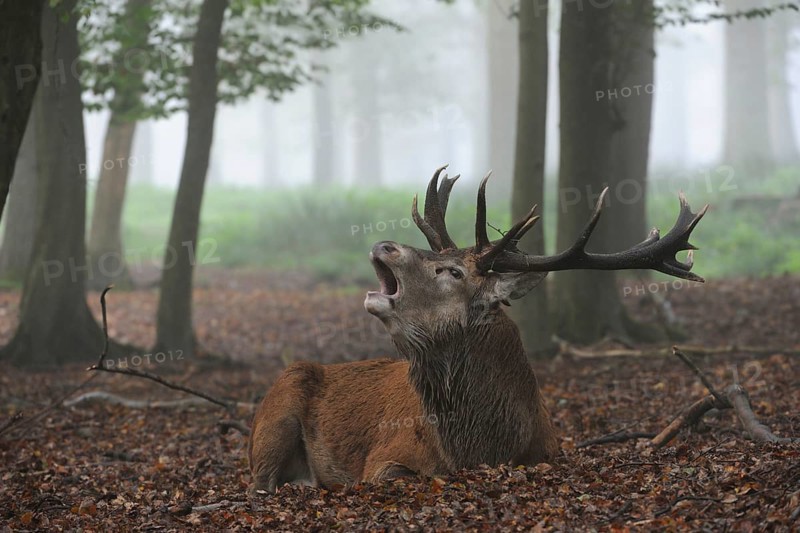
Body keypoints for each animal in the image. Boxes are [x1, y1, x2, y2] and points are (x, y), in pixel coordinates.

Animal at [248, 166, 707, 494]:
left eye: (452, 271)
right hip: (277, 410)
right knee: (259, 483)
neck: (478, 448)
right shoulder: (381, 459)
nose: (384, 245)